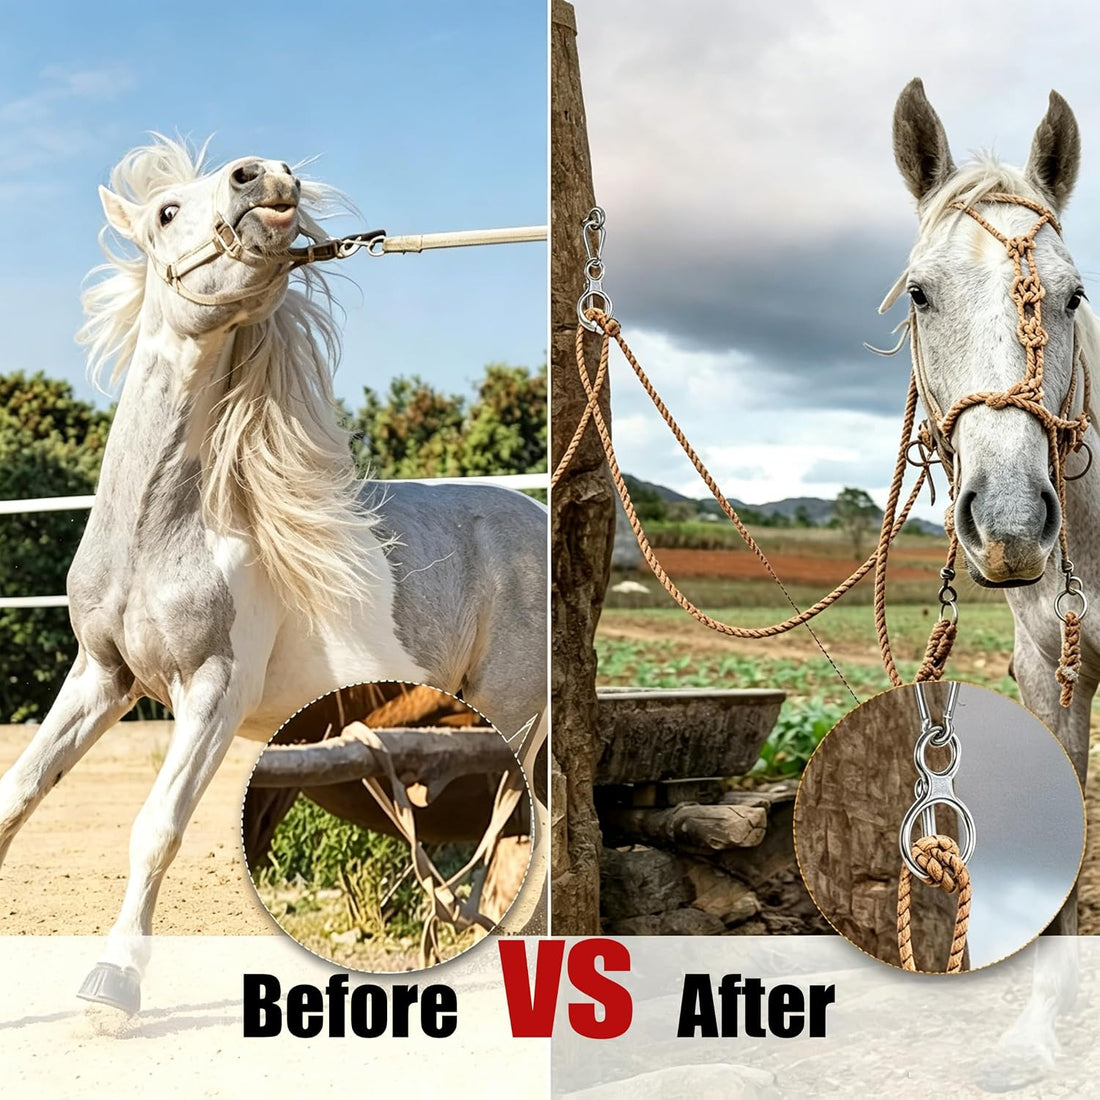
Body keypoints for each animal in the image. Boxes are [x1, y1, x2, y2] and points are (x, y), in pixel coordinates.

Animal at [0, 137, 547, 1016]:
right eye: (165, 212)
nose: (264, 176)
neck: (165, 535)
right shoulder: (102, 676)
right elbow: (18, 795)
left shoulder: (214, 693)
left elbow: (157, 827)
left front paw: (114, 983)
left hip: (514, 716)